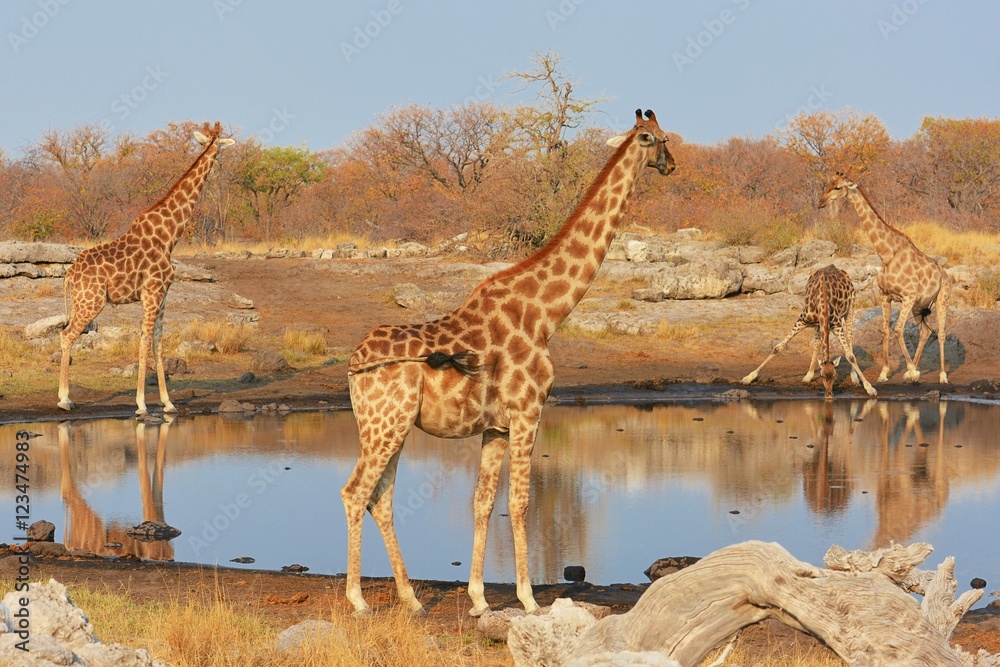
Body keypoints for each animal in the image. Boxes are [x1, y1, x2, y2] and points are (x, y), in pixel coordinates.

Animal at [58, 122, 234, 415]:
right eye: (221, 143)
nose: (220, 158)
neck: (169, 235)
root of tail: (70, 274)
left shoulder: (163, 294)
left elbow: (158, 342)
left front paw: (168, 402)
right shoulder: (151, 292)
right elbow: (143, 340)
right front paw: (141, 404)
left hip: (81, 302)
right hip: (92, 302)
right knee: (67, 334)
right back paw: (64, 399)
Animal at [341, 109, 675, 617]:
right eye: (656, 139)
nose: (672, 165)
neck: (546, 314)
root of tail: (353, 363)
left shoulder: (495, 426)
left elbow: (482, 502)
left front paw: (480, 599)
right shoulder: (527, 412)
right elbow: (520, 502)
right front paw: (528, 599)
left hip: (387, 425)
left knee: (380, 498)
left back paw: (411, 598)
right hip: (385, 424)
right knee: (355, 492)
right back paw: (358, 599)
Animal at [742, 264, 876, 399]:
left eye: (835, 375)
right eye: (821, 375)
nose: (829, 394)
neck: (822, 302)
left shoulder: (837, 325)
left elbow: (850, 356)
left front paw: (869, 388)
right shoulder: (802, 320)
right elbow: (778, 347)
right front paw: (748, 377)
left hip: (850, 306)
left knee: (849, 338)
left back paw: (854, 378)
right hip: (818, 323)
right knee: (817, 342)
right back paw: (808, 375)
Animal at [819, 174, 951, 384]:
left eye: (838, 187)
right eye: (829, 185)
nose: (821, 202)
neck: (887, 255)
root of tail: (944, 274)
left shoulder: (908, 297)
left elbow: (898, 330)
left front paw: (912, 370)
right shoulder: (886, 296)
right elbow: (886, 331)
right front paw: (885, 373)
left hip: (941, 299)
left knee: (942, 333)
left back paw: (942, 375)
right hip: (920, 306)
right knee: (926, 331)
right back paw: (911, 372)